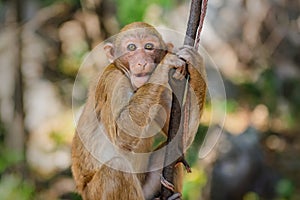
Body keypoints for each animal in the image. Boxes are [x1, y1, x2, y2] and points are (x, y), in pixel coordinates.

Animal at [71, 21, 206, 200]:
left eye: (149, 47)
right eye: (131, 47)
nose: (141, 62)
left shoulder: (162, 92)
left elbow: (180, 139)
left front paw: (195, 62)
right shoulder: (113, 80)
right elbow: (122, 135)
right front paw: (164, 66)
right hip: (95, 194)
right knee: (116, 168)